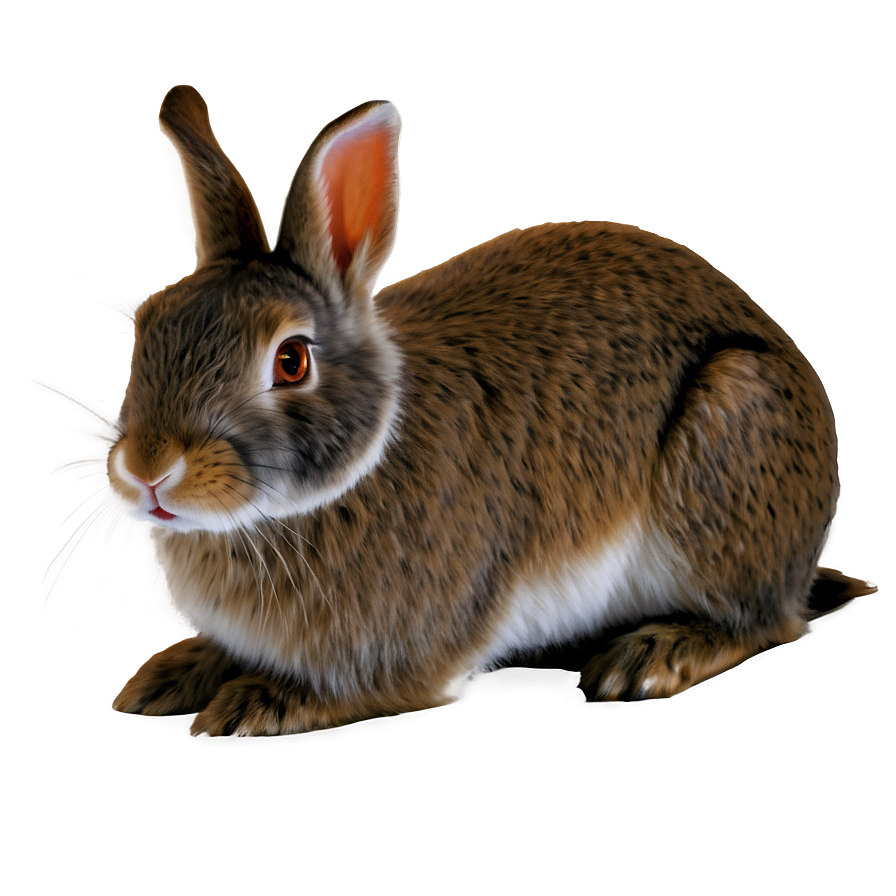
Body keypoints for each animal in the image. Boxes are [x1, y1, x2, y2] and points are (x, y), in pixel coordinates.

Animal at [109, 84, 874, 737]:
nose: (148, 470)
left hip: (729, 430)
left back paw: (647, 657)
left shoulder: (404, 646)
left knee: (765, 623)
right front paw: (165, 676)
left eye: (291, 360)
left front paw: (252, 703)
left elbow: (364, 689)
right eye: (149, 324)